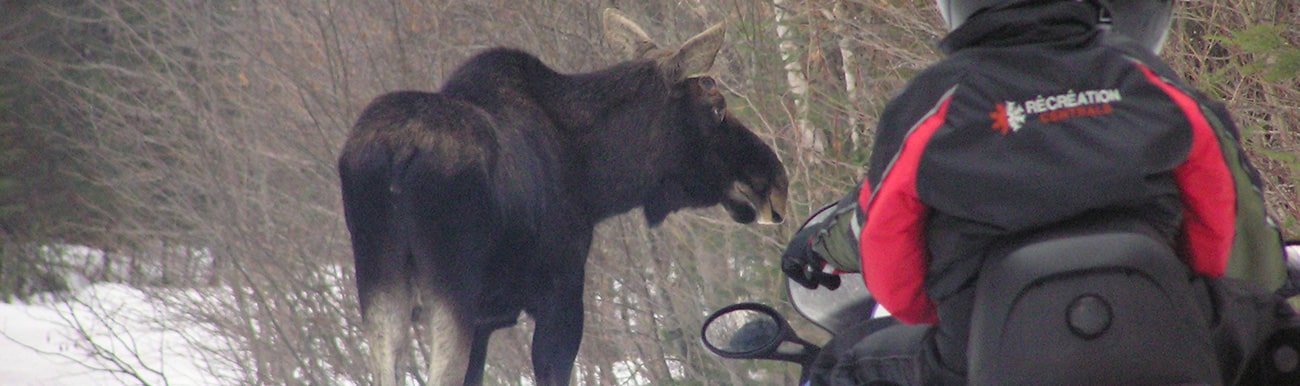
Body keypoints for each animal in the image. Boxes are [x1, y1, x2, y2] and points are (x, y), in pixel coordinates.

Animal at [335, 9, 785, 384]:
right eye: (717, 108)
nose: (776, 181)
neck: (595, 182)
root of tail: (396, 154)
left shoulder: (487, 319)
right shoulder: (561, 295)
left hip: (380, 287)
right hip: (450, 289)